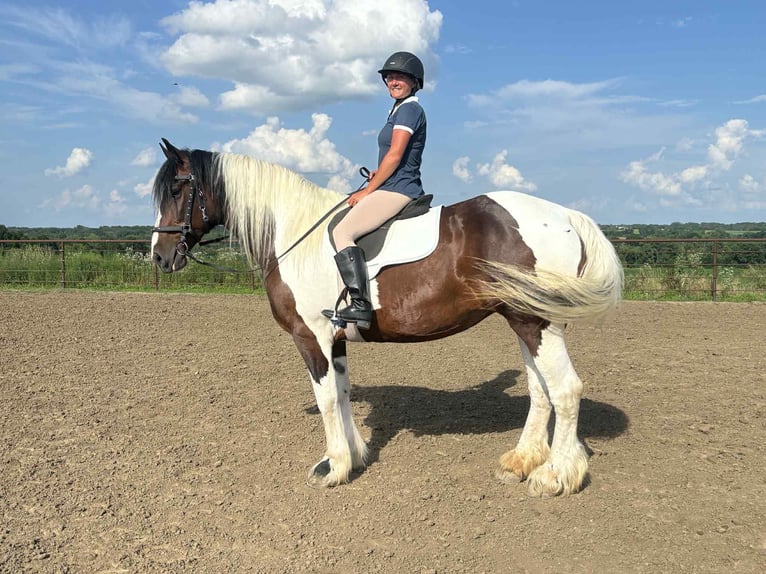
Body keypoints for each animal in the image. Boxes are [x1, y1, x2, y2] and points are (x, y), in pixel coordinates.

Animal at [150, 138, 623, 497]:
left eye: (176, 189)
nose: (159, 256)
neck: (296, 232)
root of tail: (564, 215)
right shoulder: (335, 339)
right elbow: (342, 393)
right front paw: (354, 457)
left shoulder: (311, 336)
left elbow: (326, 398)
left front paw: (333, 467)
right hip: (525, 320)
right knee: (540, 389)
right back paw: (522, 461)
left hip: (535, 321)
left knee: (565, 389)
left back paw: (555, 475)